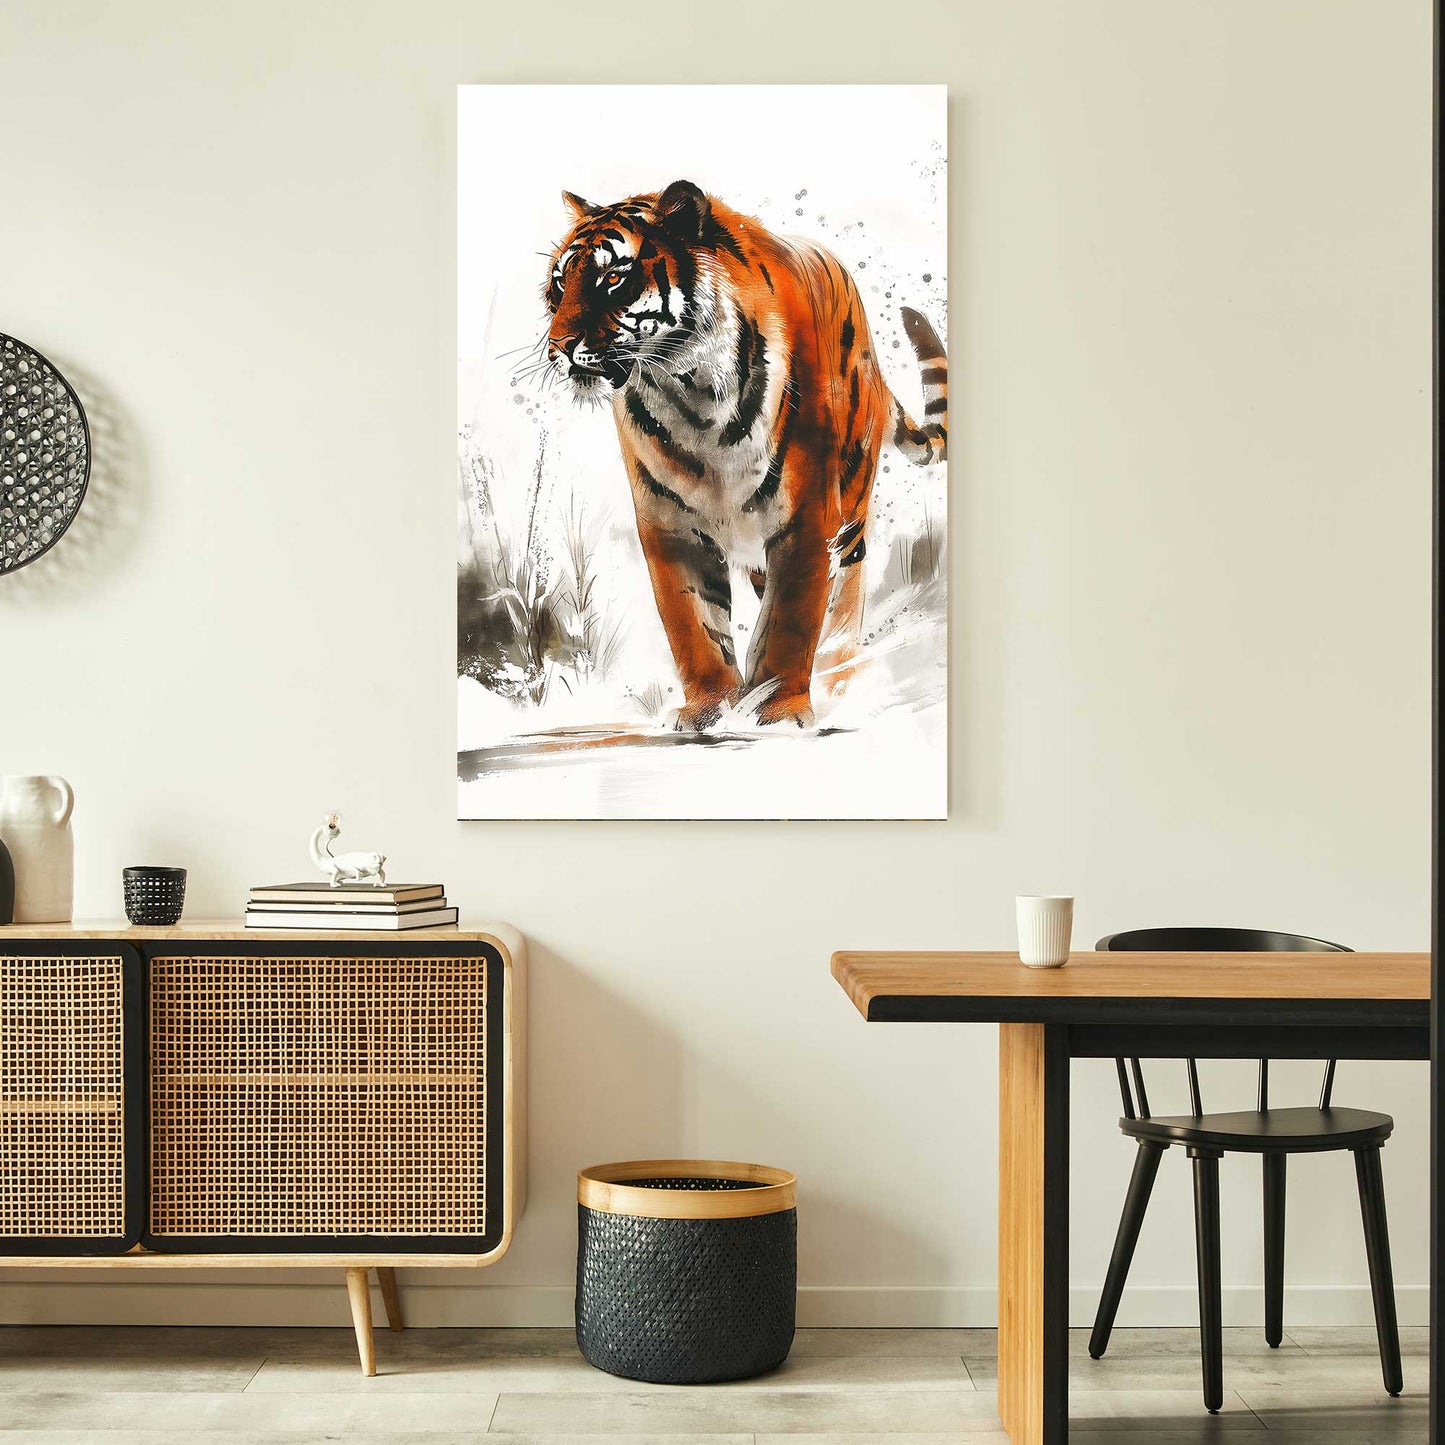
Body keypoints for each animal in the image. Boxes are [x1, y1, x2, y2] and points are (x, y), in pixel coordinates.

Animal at [542, 178, 947, 729]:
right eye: (559, 283)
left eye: (613, 278)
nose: (559, 344)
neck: (691, 397)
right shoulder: (669, 525)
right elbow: (693, 626)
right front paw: (709, 710)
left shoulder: (807, 518)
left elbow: (792, 619)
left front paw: (778, 710)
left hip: (850, 504)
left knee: (845, 593)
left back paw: (839, 677)